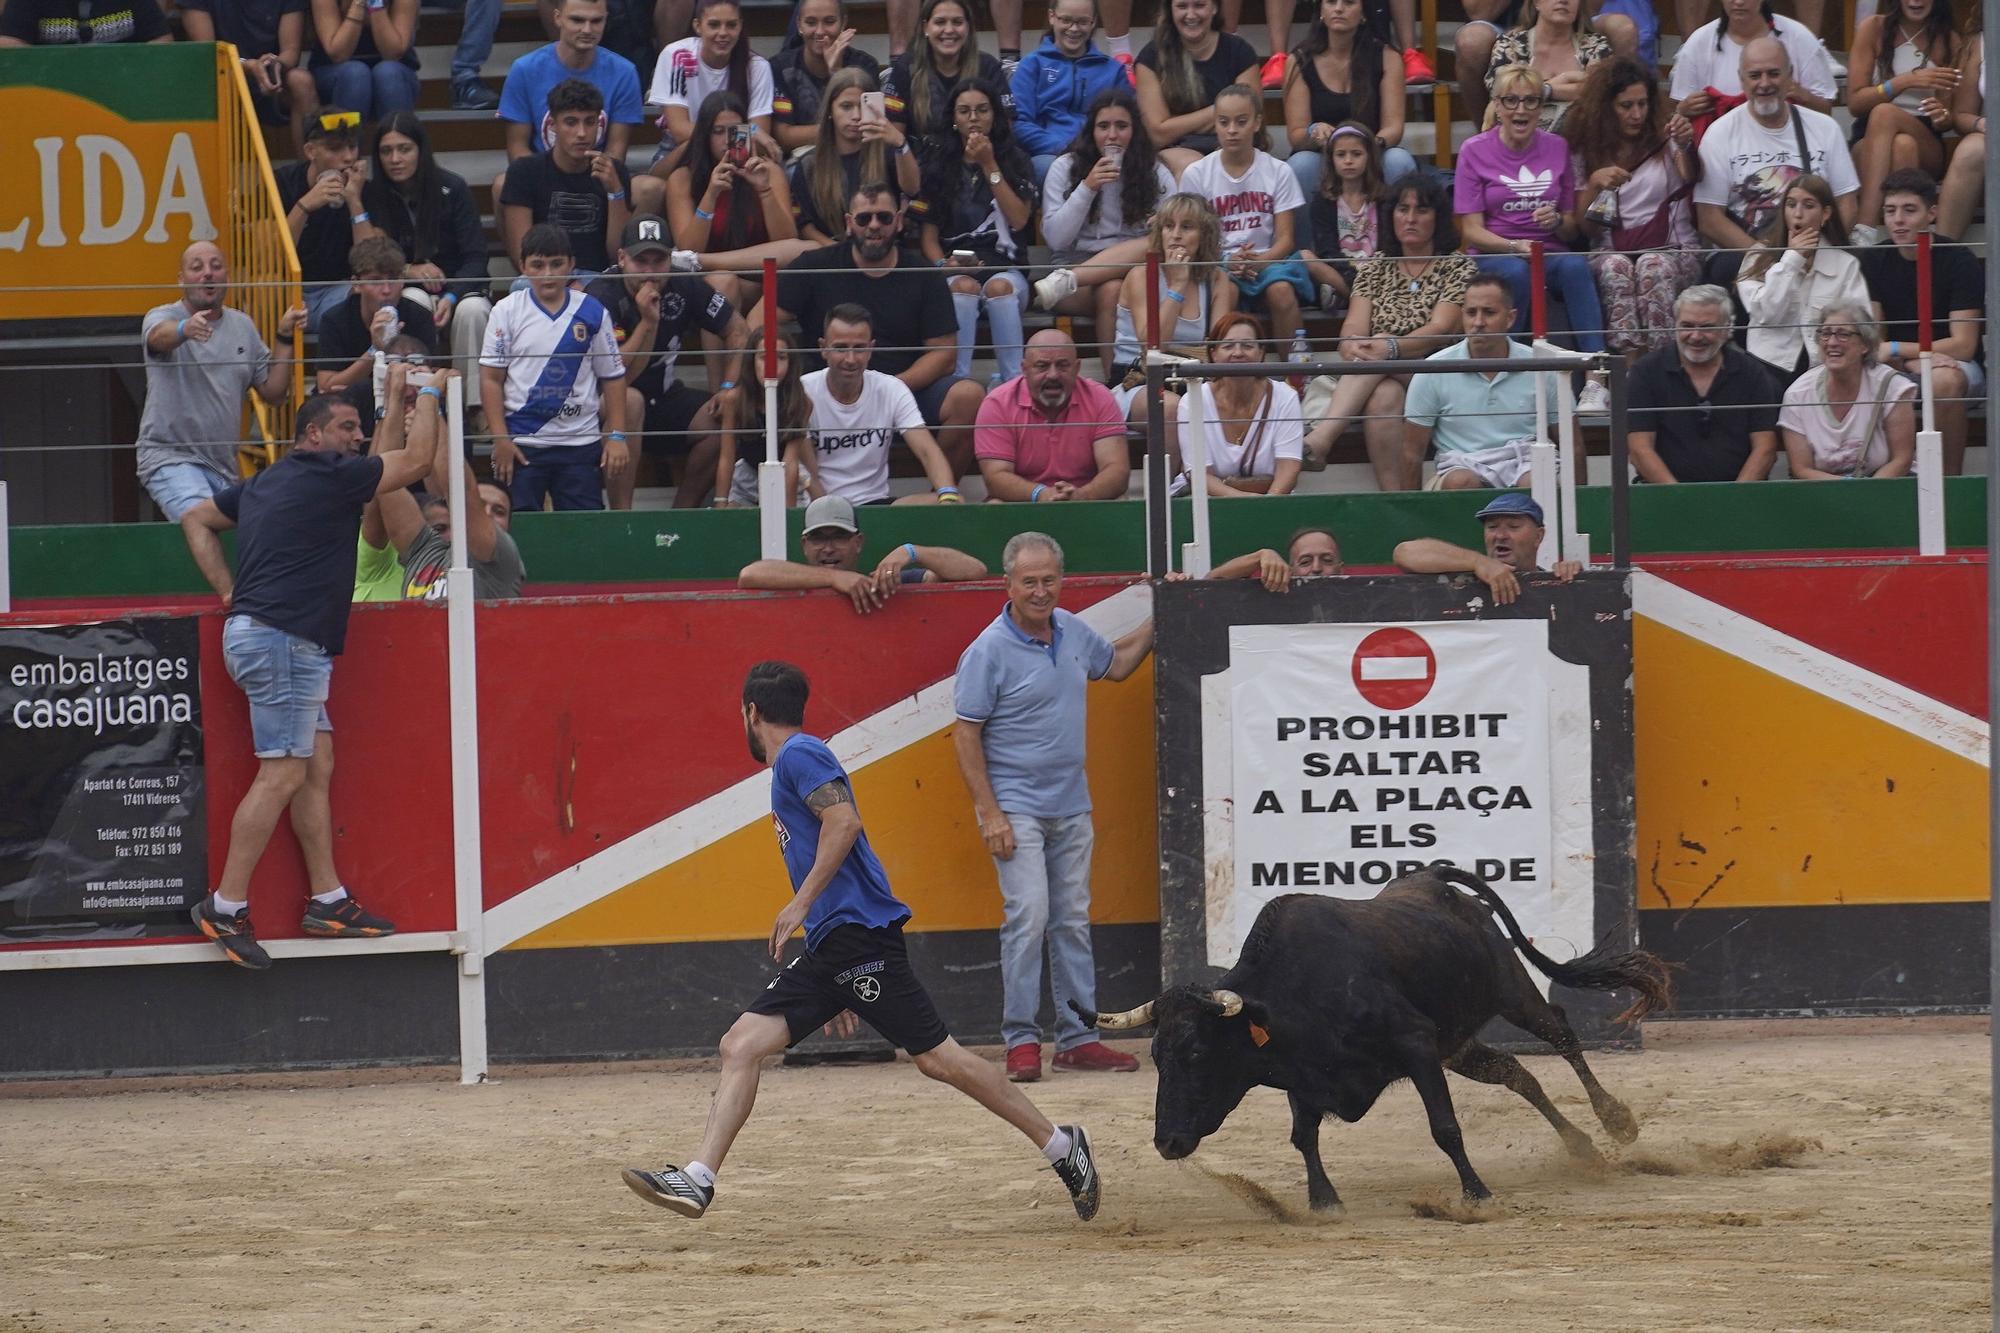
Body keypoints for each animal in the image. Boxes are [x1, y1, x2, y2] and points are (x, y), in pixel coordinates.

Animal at [1080, 860, 1672, 1200]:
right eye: (1158, 1055)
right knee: (1516, 1073)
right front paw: (1324, 1201)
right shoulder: (1303, 1075)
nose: (1167, 1142)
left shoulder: (1416, 1047)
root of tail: (1429, 877)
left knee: (1563, 1035)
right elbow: (1303, 1137)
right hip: (1458, 1044)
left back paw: (1616, 1121)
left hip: (1511, 992)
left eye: (1199, 1054)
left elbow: (1445, 1127)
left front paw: (1476, 1193)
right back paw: (1582, 1148)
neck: (1294, 989)